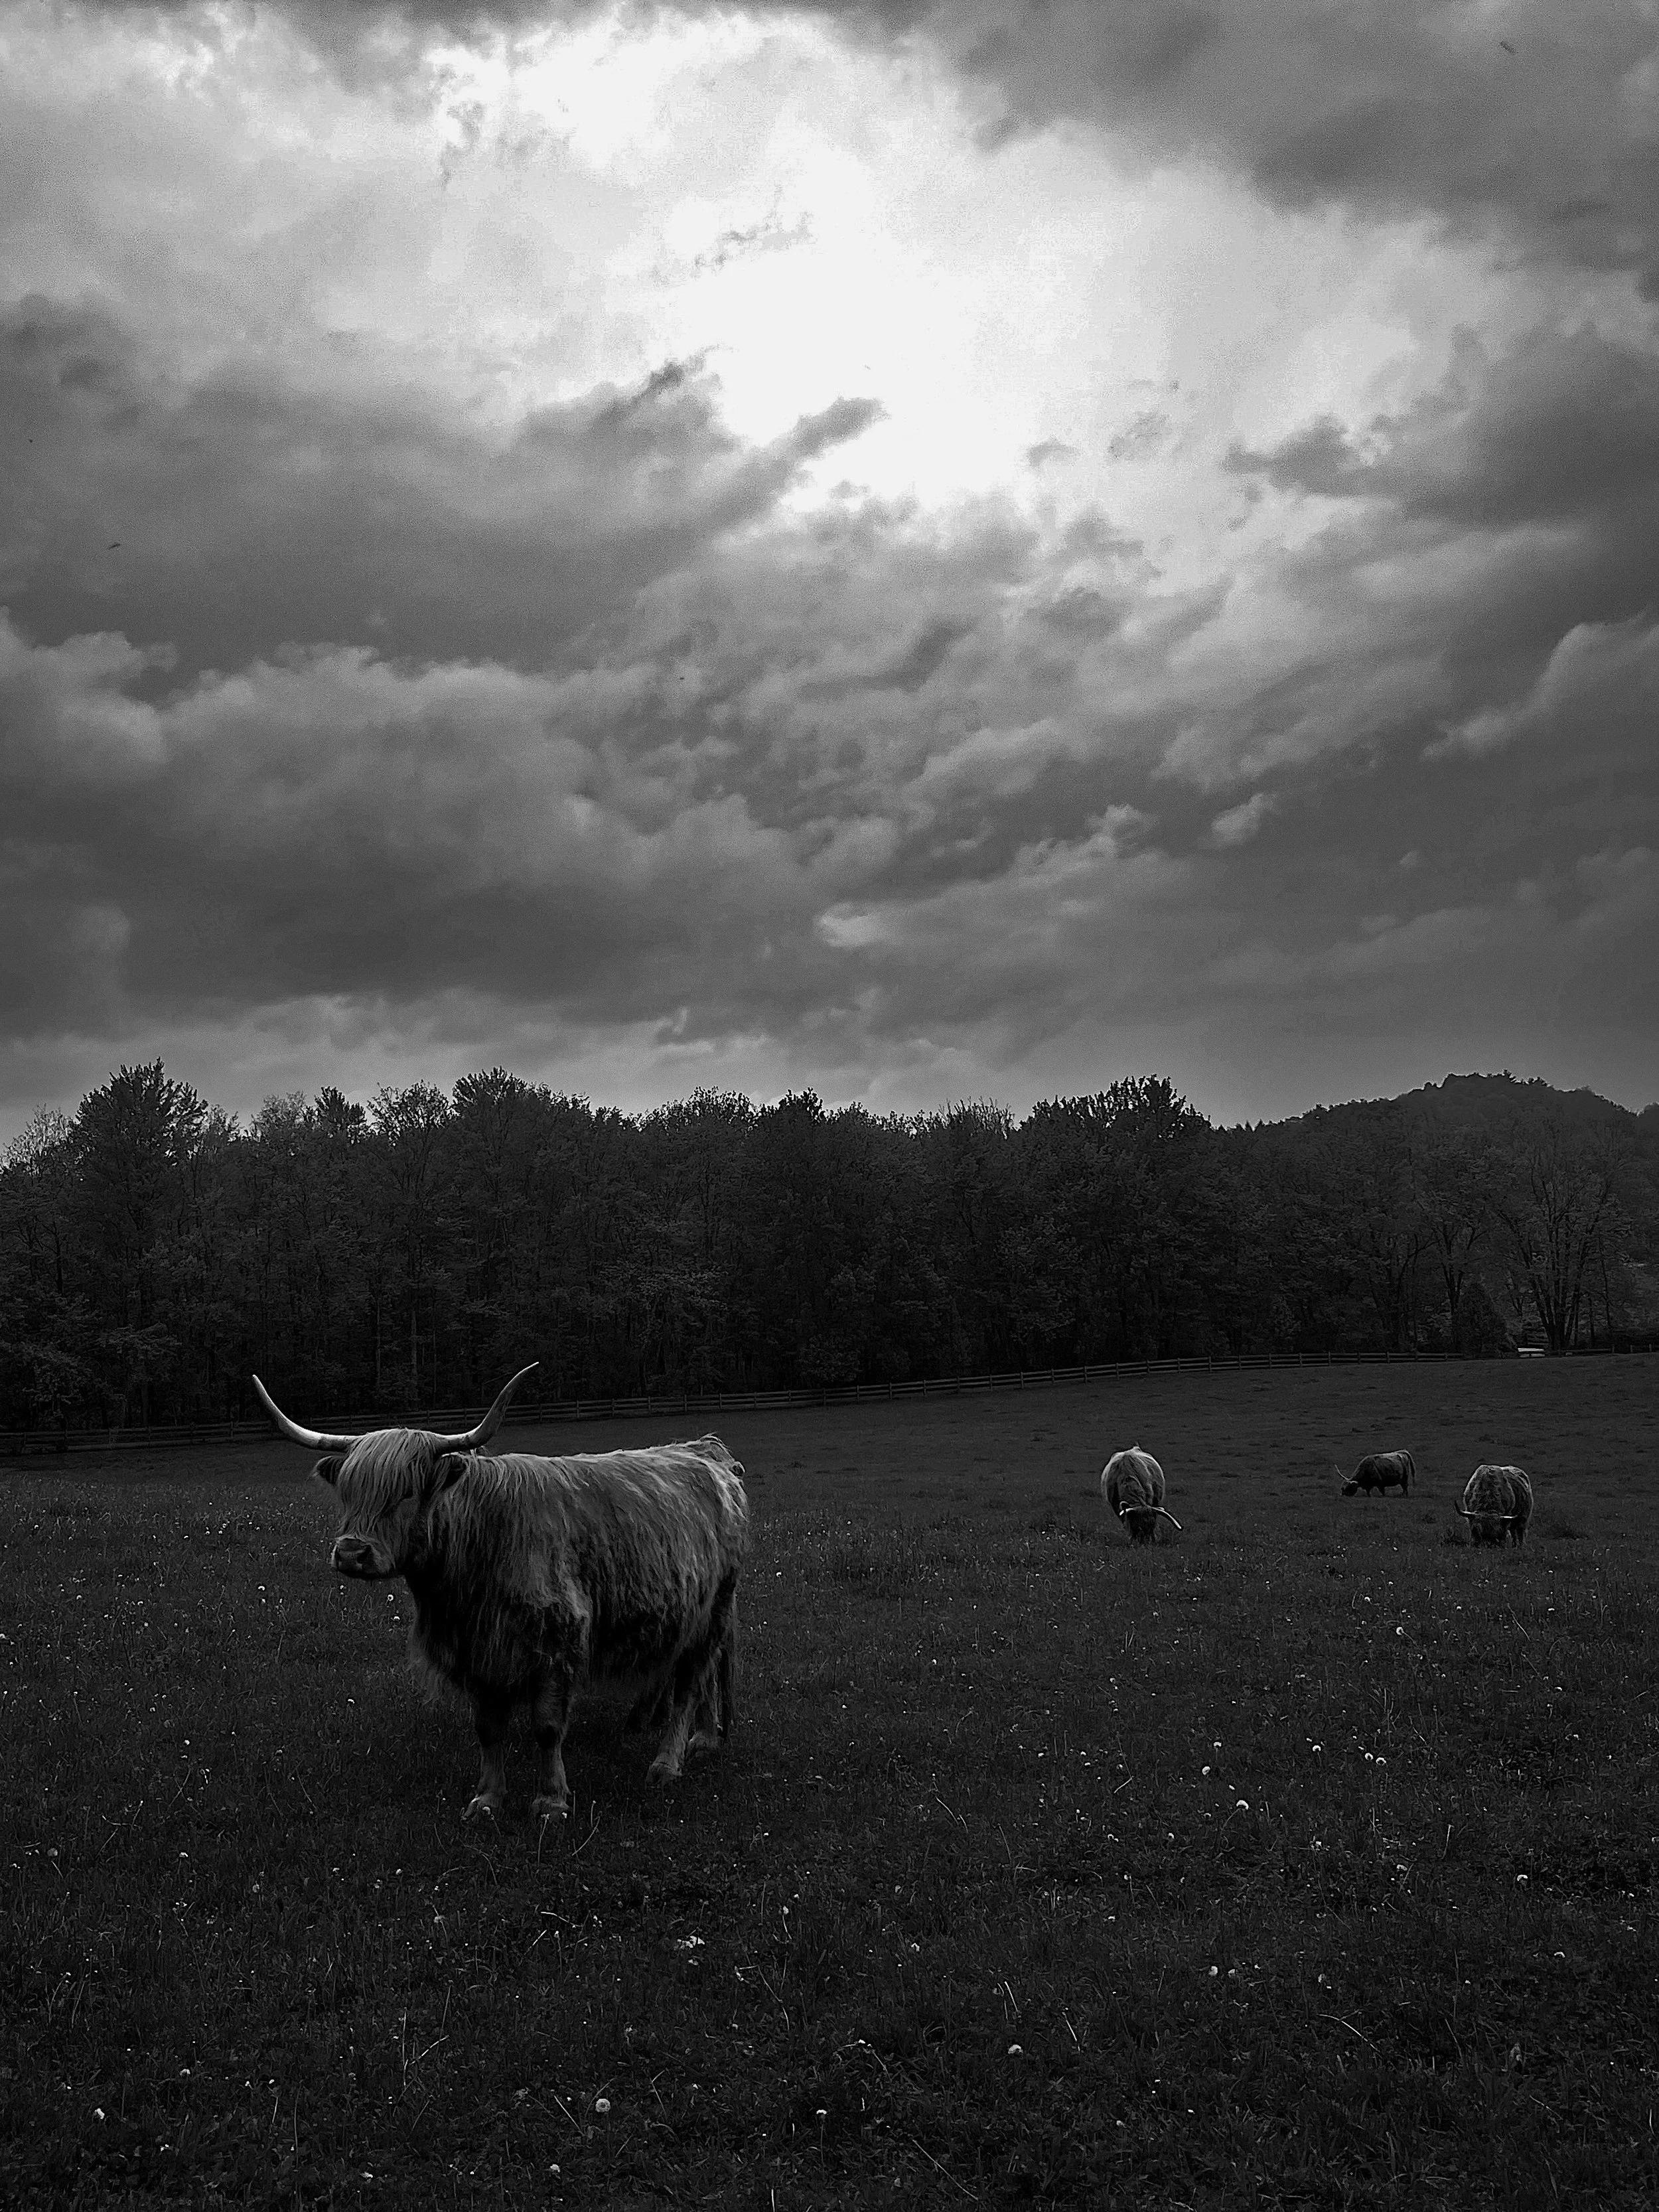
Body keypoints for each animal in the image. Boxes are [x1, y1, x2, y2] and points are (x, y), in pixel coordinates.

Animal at [252, 1365, 748, 1822]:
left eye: (407, 1492)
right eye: (348, 1492)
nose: (352, 1553)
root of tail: (704, 1450)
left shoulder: (556, 1642)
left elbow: (547, 1727)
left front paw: (551, 1801)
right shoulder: (477, 1649)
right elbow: (488, 1728)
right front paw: (488, 1799)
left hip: (714, 1608)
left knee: (691, 1681)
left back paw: (668, 1760)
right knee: (696, 1672)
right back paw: (696, 1736)